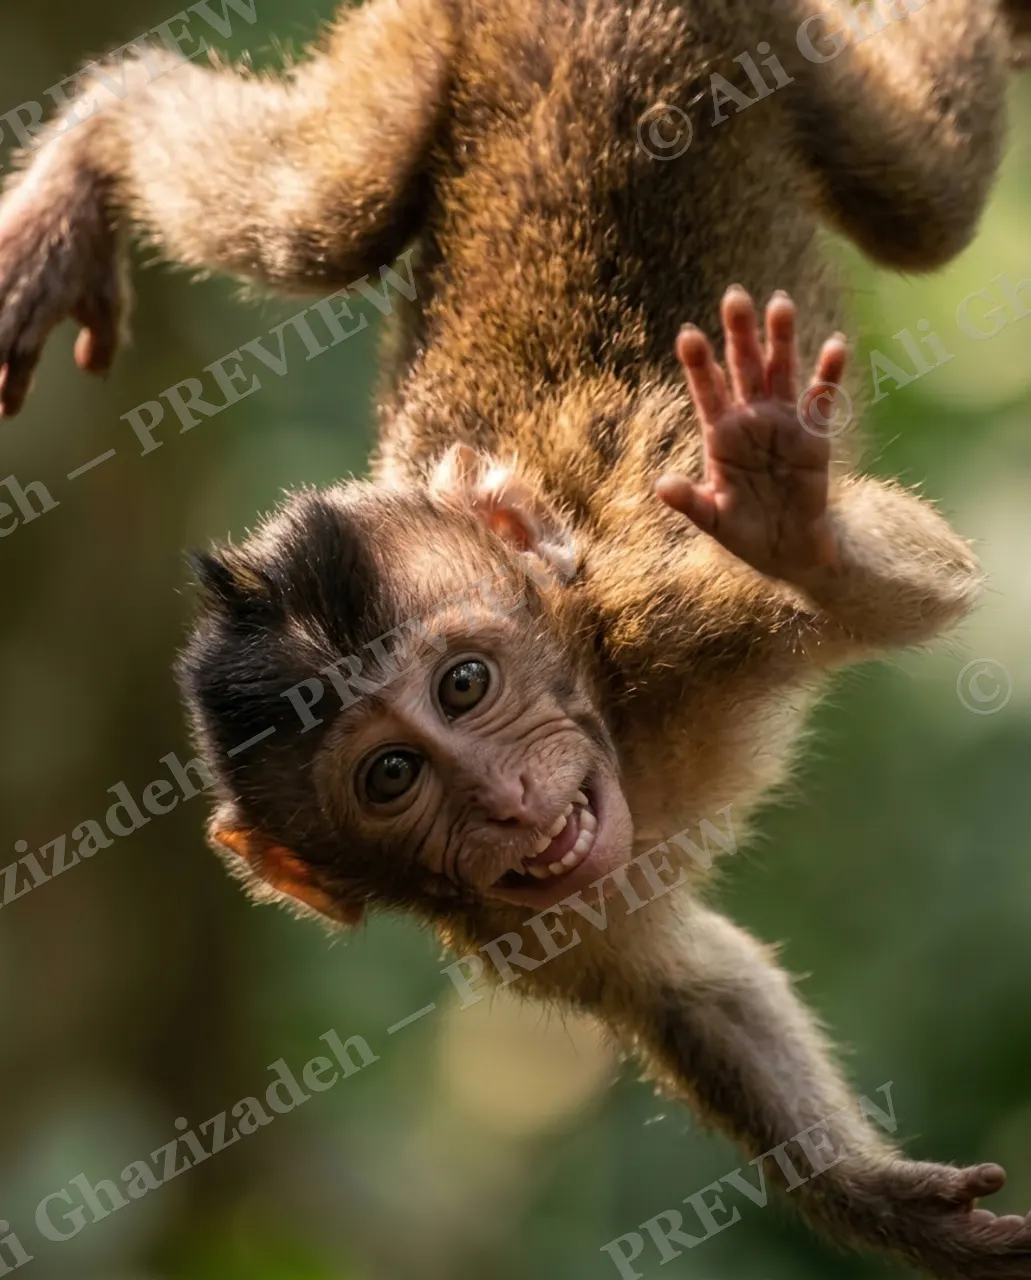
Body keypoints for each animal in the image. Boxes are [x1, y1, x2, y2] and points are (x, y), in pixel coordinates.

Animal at [1, 0, 1031, 1273]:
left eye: (464, 685)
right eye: (392, 776)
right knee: (322, 213)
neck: (611, 705)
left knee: (925, 203)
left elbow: (921, 584)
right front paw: (888, 1200)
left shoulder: (670, 612)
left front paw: (792, 522)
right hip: (423, 45)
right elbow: (689, 981)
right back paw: (100, 137)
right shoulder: (526, 923)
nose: (501, 795)